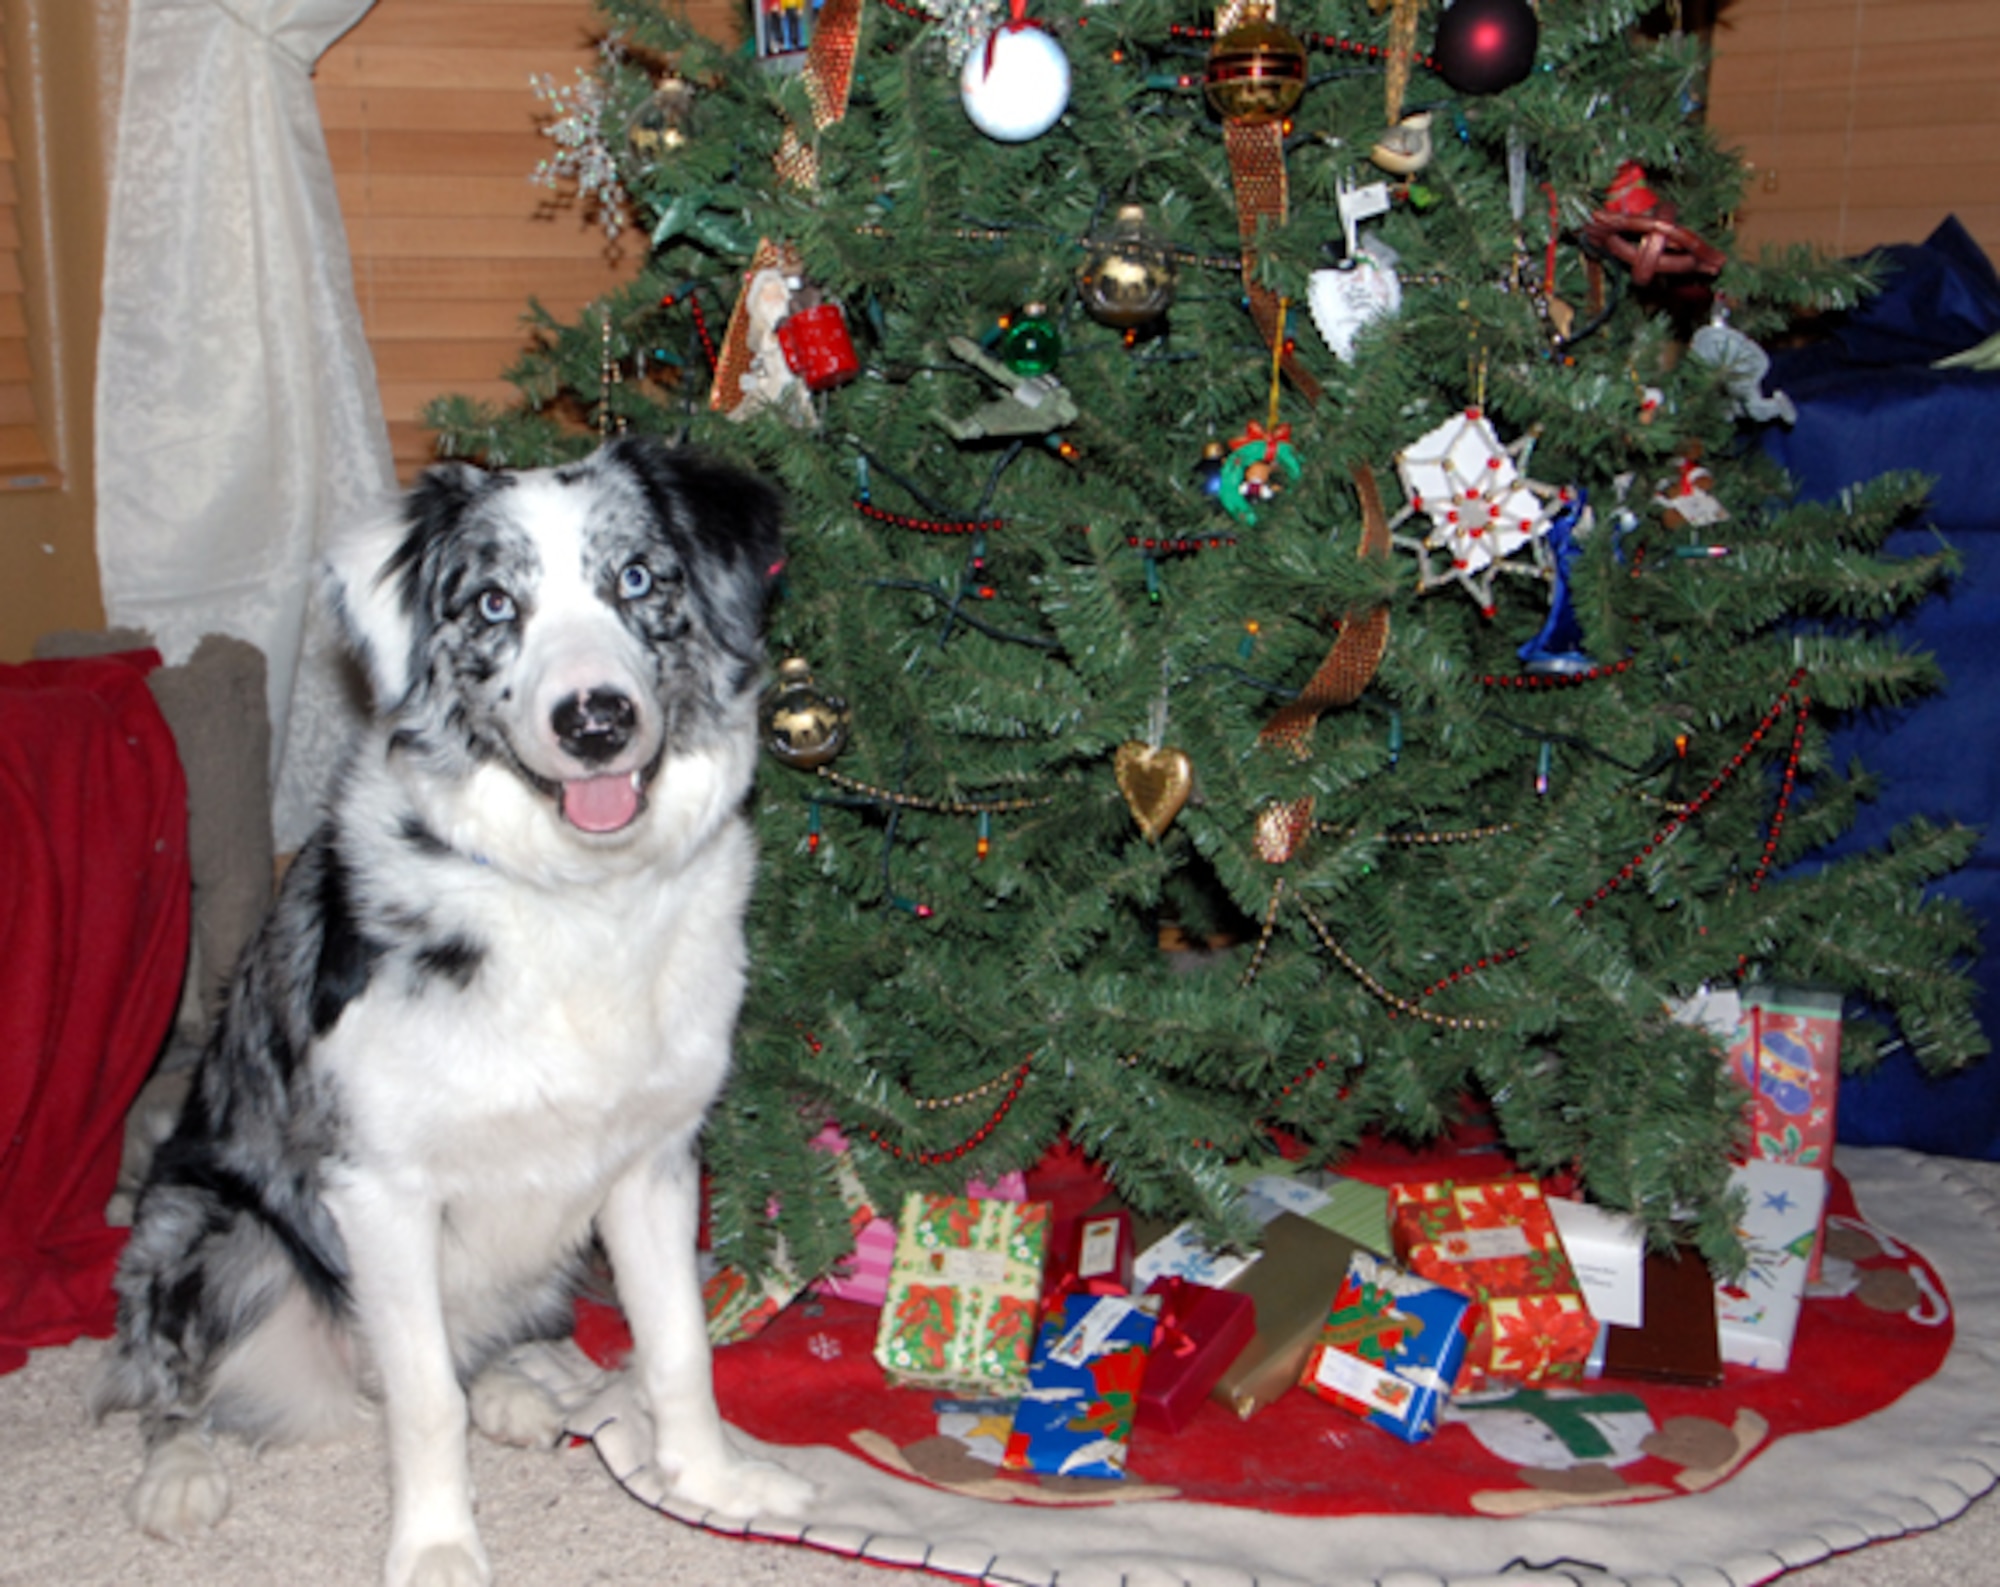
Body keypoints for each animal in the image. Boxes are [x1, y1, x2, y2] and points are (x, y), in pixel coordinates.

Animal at [92, 435, 812, 1583]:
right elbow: (424, 1397)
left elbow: (678, 1346)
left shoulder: (652, 1161)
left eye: (639, 579)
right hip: (205, 1226)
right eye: (491, 604)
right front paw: (437, 1548)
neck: (576, 897)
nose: (595, 720)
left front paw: (712, 1481)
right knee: (162, 1373)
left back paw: (521, 1388)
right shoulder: (379, 1189)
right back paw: (179, 1472)